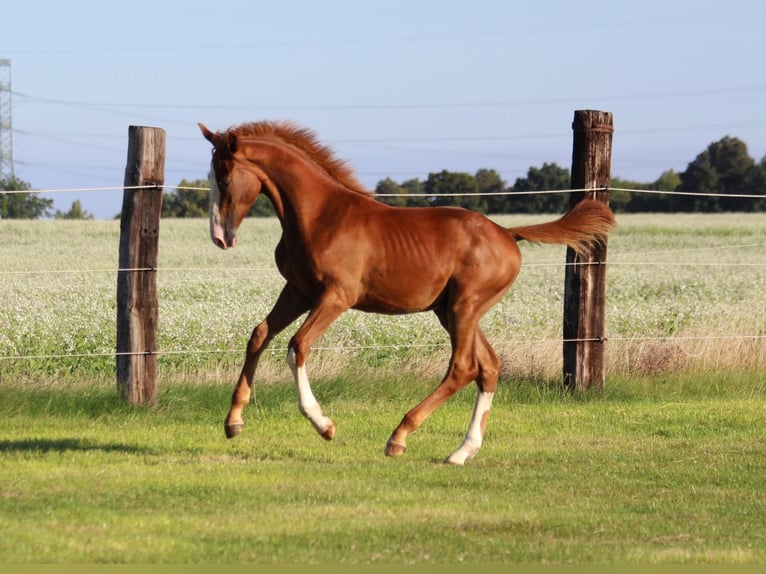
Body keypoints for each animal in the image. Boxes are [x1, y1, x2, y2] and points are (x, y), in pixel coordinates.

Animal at [199, 120, 615, 465]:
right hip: (451, 311)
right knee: (489, 367)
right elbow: (259, 336)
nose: (219, 238)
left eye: (225, 177)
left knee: (463, 367)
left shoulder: (337, 296)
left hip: (464, 307)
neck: (319, 216)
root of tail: (508, 235)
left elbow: (297, 346)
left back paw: (399, 437)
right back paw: (461, 452)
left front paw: (324, 424)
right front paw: (233, 422)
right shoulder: (298, 290)